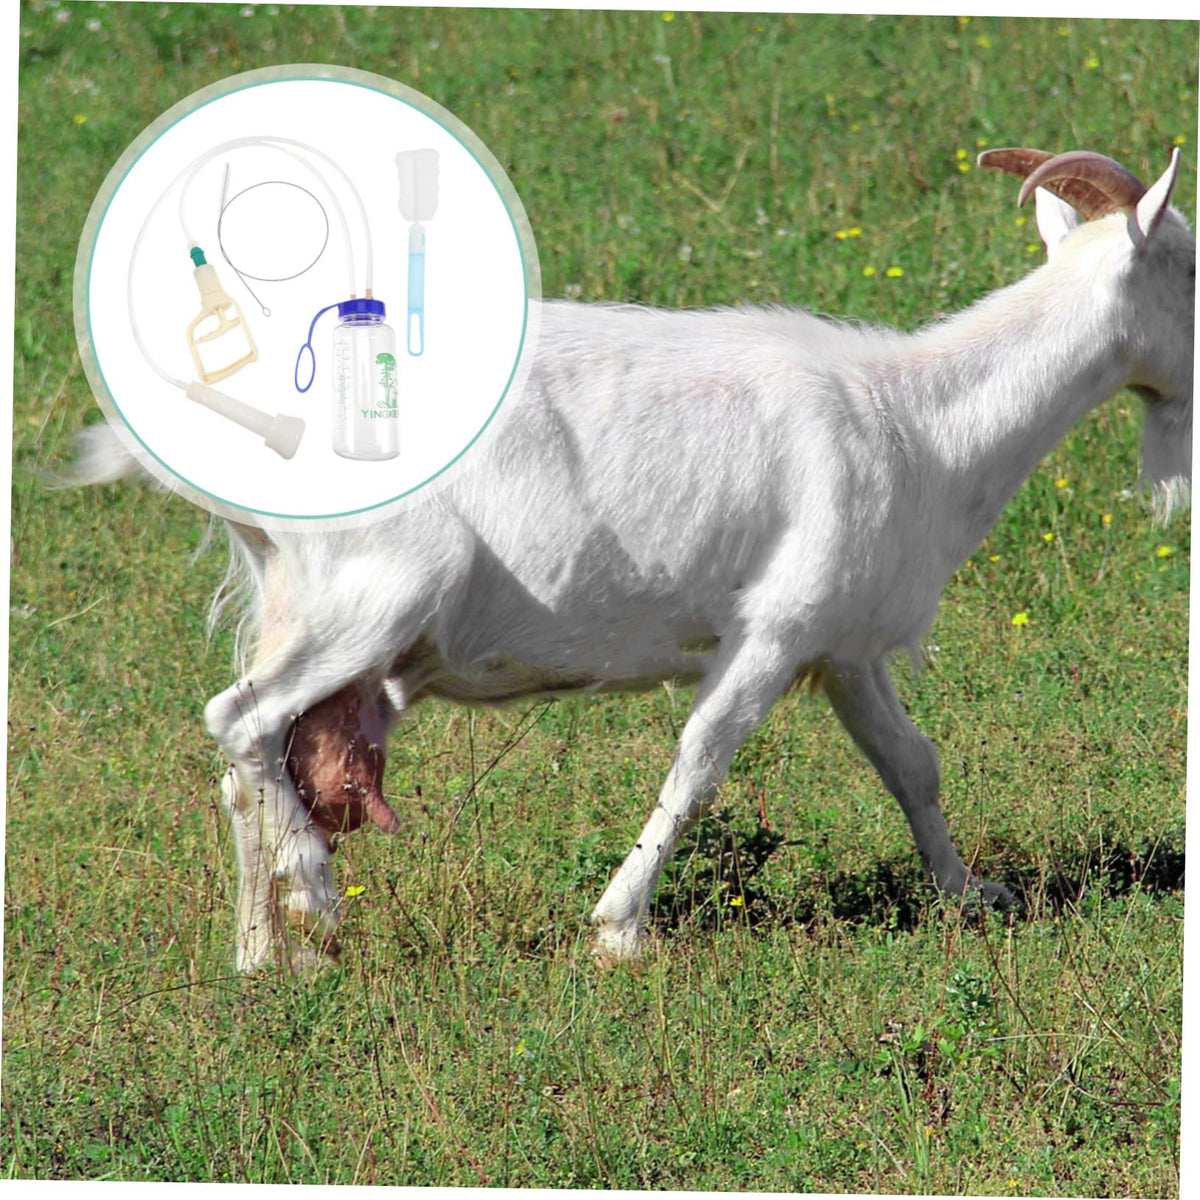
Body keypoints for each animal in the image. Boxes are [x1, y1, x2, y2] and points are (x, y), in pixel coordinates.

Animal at [80, 147, 1194, 973]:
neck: (916, 421)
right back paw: (313, 896)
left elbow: (911, 763)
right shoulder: (772, 627)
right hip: (372, 595)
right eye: (1189, 265)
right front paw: (620, 928)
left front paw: (971, 894)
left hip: (304, 605)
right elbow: (698, 763)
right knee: (239, 719)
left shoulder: (841, 642)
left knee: (253, 760)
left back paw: (266, 956)